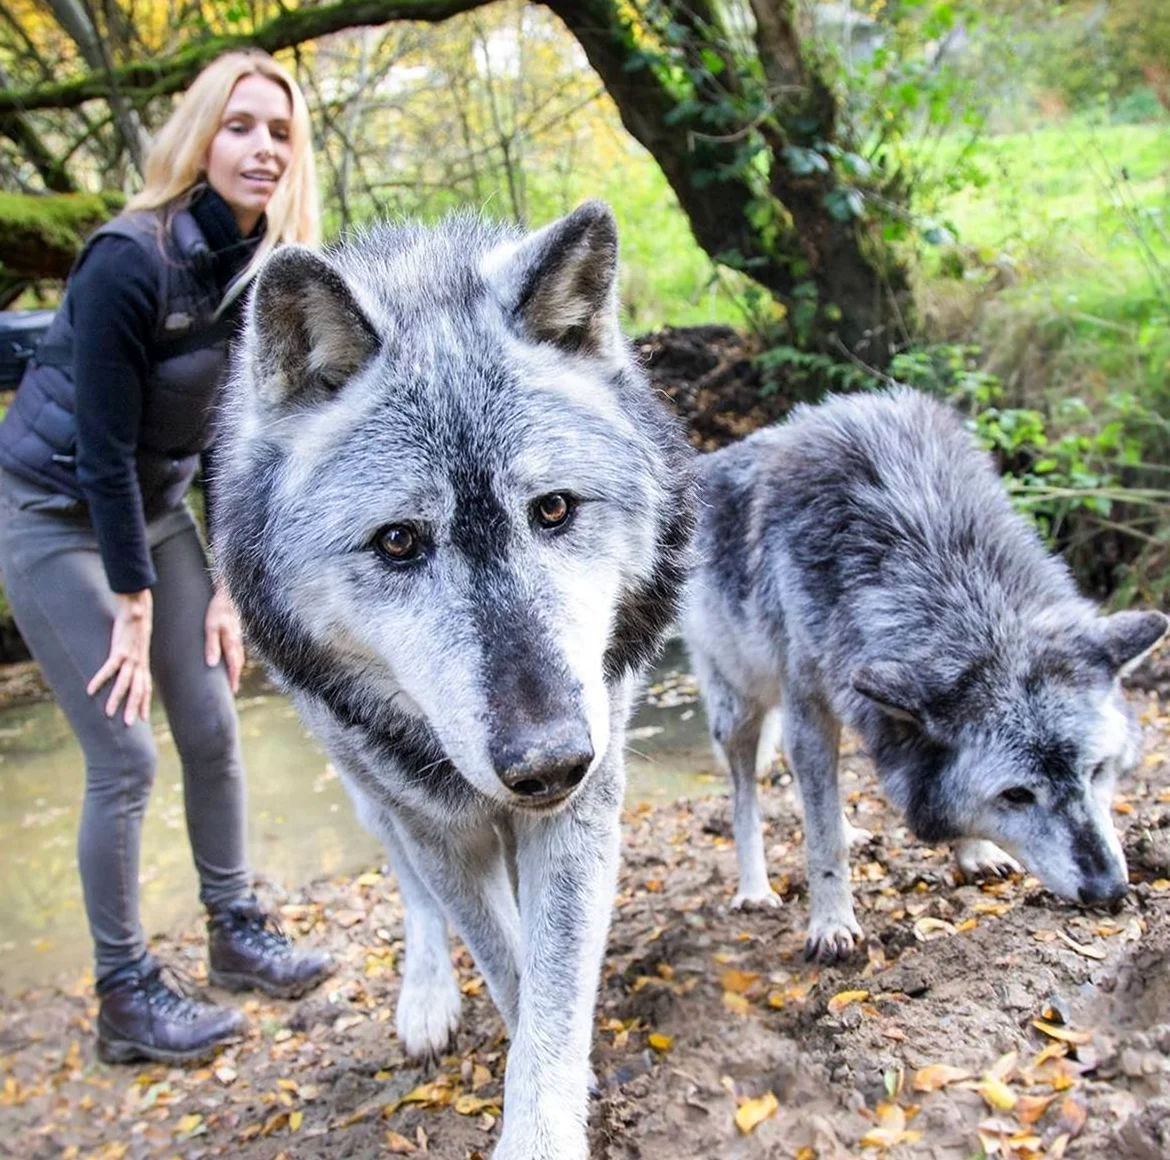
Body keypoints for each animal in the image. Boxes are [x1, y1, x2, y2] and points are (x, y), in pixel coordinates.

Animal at [210, 203, 692, 1156]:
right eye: (399, 541)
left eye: (554, 509)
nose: (549, 762)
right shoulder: (437, 824)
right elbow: (508, 966)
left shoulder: (585, 804)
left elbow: (552, 988)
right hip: (371, 791)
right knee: (414, 892)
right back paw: (427, 994)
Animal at [683, 390, 1165, 959]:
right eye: (1016, 795)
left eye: (1097, 772)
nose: (1109, 890)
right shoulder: (808, 708)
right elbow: (822, 840)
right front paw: (831, 924)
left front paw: (974, 853)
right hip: (738, 711)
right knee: (745, 797)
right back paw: (754, 889)